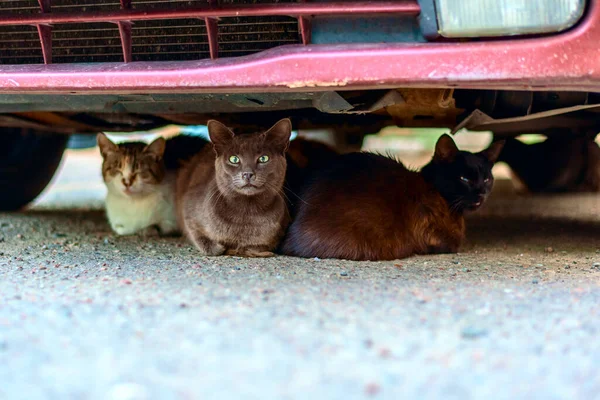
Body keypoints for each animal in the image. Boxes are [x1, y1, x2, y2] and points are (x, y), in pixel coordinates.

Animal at [177, 119, 292, 258]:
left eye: (264, 158)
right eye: (234, 159)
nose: (247, 174)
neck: (247, 211)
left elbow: (257, 246)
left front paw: (252, 251)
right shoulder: (189, 215)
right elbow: (205, 241)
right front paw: (223, 247)